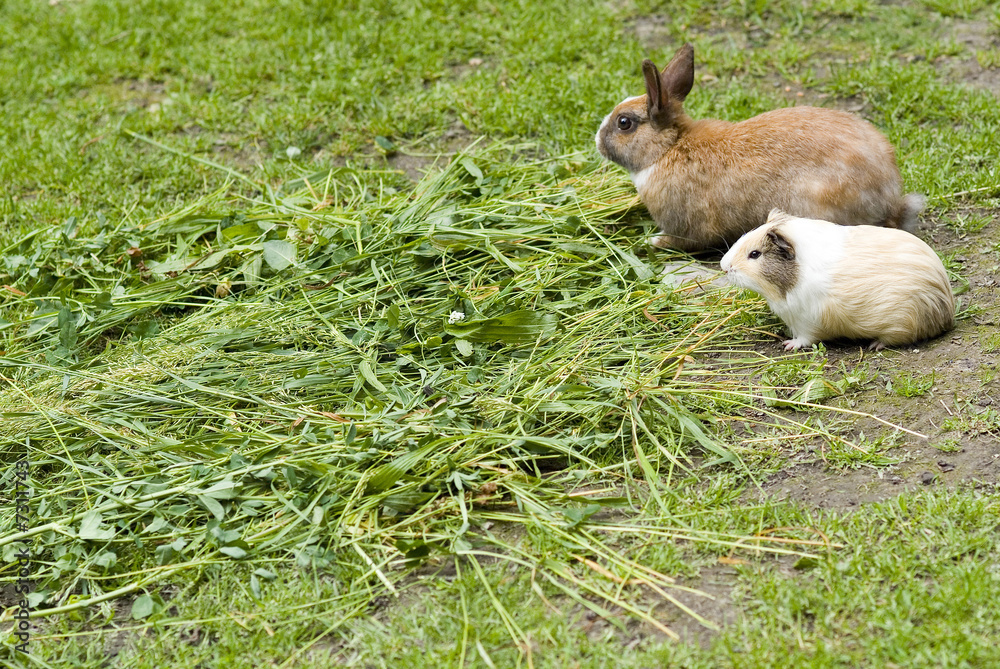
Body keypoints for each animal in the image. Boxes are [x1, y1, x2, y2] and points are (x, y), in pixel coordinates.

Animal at [595, 43, 926, 252]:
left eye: (624, 123)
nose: (597, 141)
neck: (669, 147)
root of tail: (888, 200)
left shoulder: (686, 225)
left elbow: (684, 242)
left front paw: (651, 242)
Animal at [720, 209, 955, 351]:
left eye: (755, 254)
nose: (724, 266)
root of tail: (947, 311)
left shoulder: (805, 323)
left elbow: (804, 339)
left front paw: (788, 344)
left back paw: (875, 345)